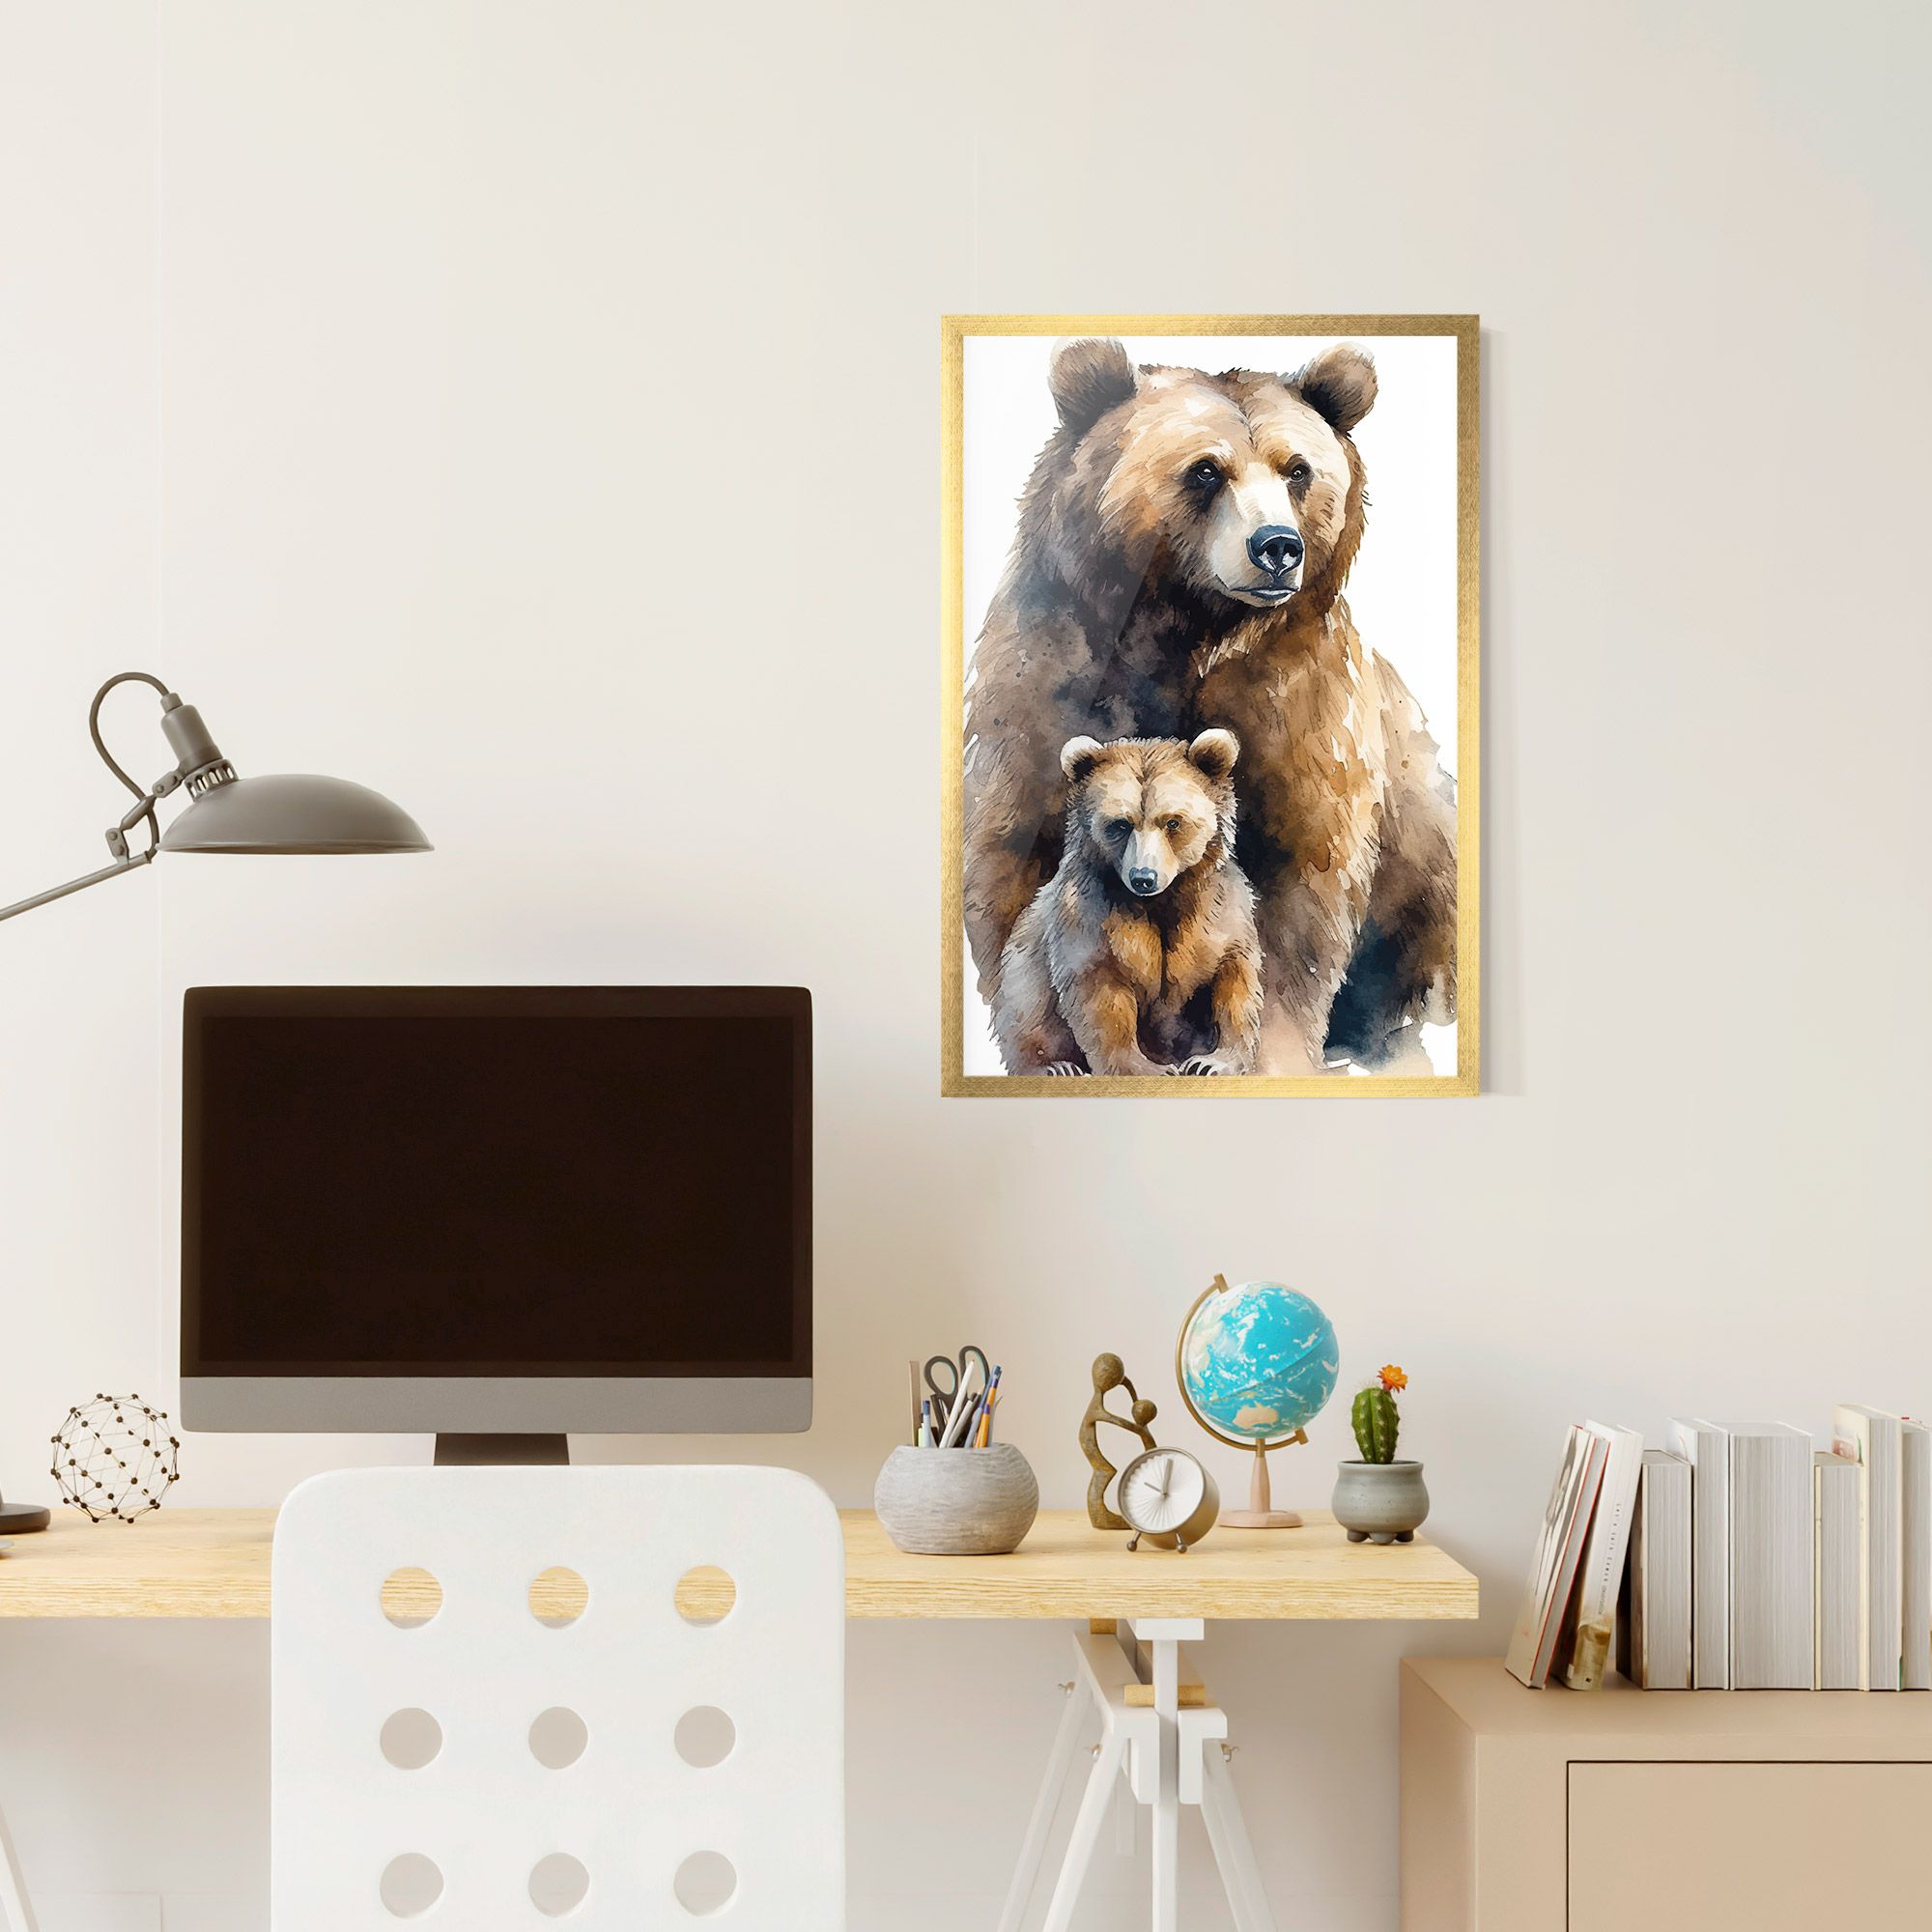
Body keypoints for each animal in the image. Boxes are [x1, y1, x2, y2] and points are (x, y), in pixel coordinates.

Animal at [992, 729, 1262, 1077]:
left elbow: (1234, 981)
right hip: (1023, 960)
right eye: (1120, 824)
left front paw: (1212, 1061)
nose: (1143, 877)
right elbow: (1102, 996)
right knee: (1025, 1007)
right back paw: (1054, 1066)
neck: (1162, 901)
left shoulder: (1219, 913)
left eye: (1173, 822)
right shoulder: (1090, 917)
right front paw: (1148, 1068)